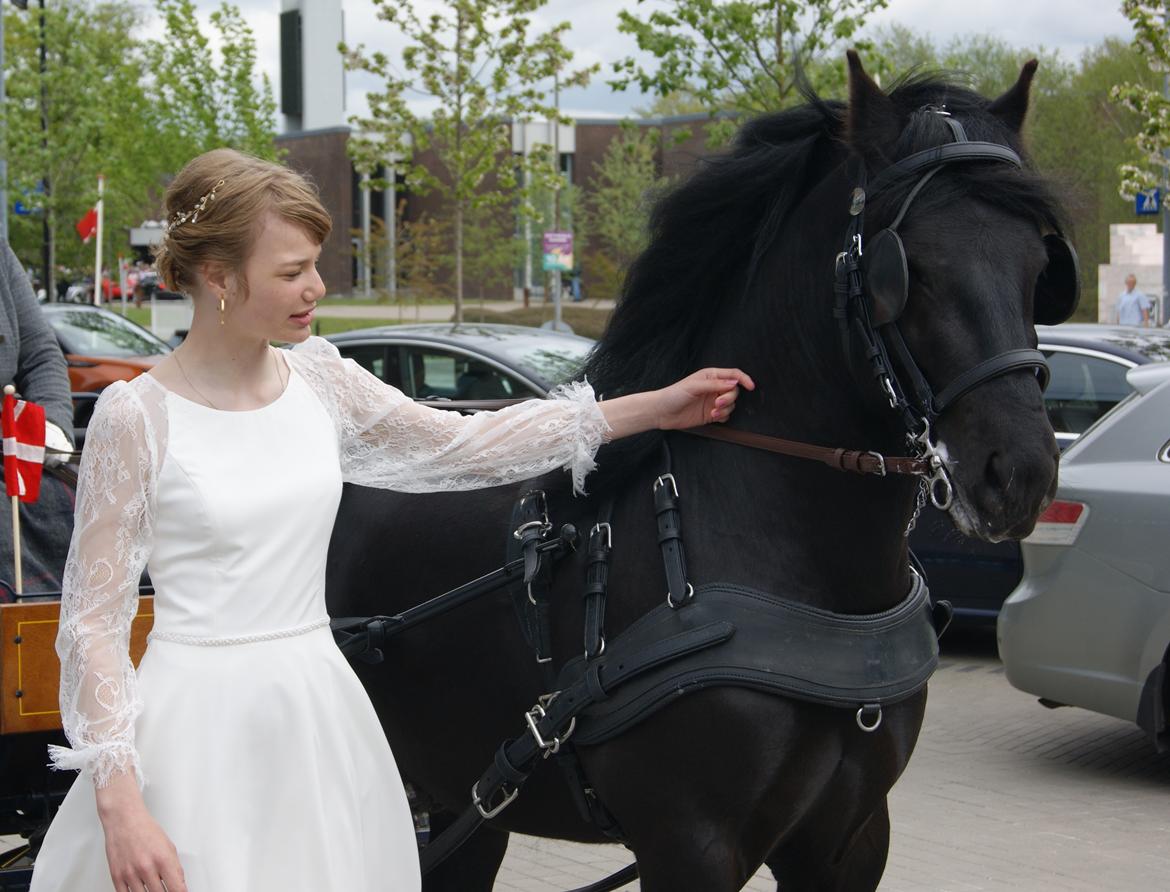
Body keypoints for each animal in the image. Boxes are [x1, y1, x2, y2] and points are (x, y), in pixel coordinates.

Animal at [326, 53, 1070, 891]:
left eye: (1039, 267)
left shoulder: (851, 839)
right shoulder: (690, 845)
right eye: (910, 271)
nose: (1020, 471)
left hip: (459, 799)